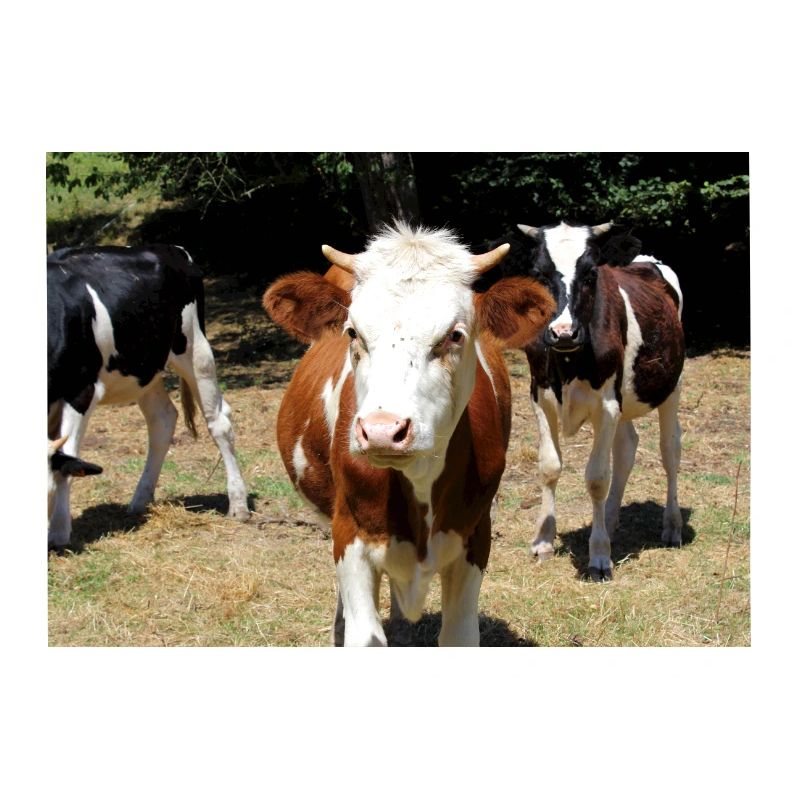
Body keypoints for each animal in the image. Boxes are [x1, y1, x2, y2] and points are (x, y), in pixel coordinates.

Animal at [48, 244, 249, 547]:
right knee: (162, 419)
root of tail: (172, 250)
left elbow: (67, 459)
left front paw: (59, 532)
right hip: (145, 369)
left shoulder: (81, 391)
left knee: (220, 423)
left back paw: (238, 504)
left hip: (194, 349)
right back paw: (141, 500)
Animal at [263, 223, 554, 646]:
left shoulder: (475, 535)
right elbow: (365, 635)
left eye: (455, 335)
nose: (383, 431)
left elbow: (458, 635)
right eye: (353, 332)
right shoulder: (349, 535)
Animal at [513, 221, 684, 581]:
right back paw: (609, 518)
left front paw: (600, 556)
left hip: (671, 387)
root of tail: (645, 260)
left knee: (670, 450)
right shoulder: (540, 396)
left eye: (591, 273)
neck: (567, 361)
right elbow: (550, 466)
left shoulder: (606, 405)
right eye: (538, 273)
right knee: (627, 447)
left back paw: (672, 526)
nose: (563, 332)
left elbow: (596, 478)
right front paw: (543, 541)